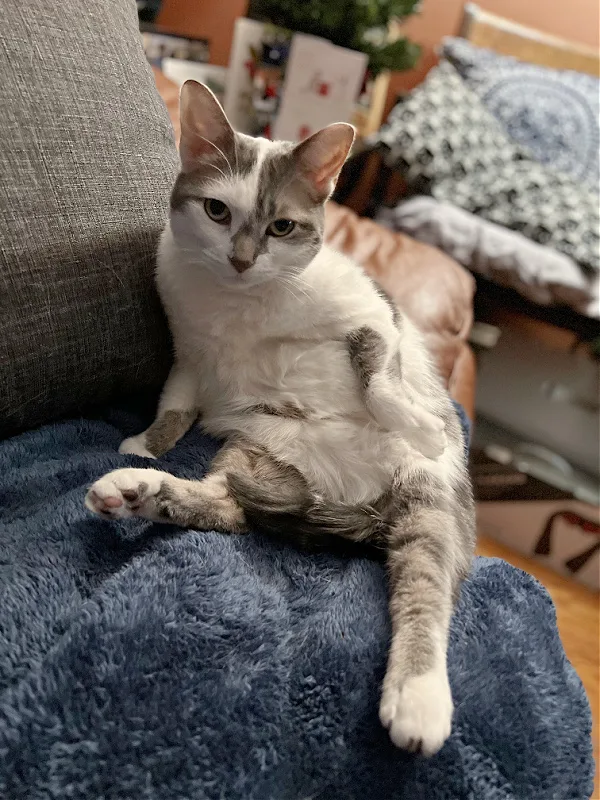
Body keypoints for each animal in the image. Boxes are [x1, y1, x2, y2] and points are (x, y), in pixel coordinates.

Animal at [86, 79, 476, 756]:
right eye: (217, 211)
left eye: (283, 226)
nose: (243, 259)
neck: (238, 305)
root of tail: (352, 500)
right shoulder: (189, 353)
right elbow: (176, 404)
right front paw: (146, 443)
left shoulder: (372, 316)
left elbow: (381, 376)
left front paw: (423, 421)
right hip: (260, 445)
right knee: (227, 506)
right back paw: (137, 491)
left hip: (427, 501)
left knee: (424, 588)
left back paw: (419, 700)